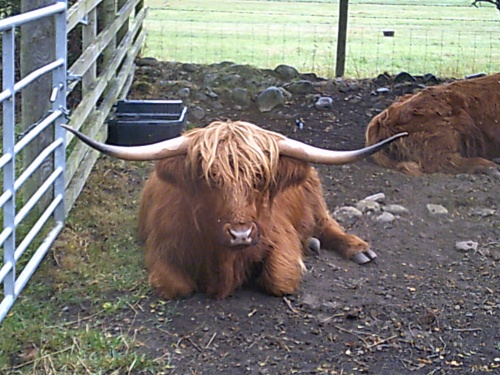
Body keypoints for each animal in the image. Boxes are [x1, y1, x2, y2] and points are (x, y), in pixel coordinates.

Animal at [63, 120, 406, 300]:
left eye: (260, 178)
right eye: (209, 178)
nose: (240, 234)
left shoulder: (278, 236)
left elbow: (281, 277)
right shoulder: (161, 247)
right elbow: (176, 285)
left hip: (315, 201)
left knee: (328, 224)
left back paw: (357, 249)